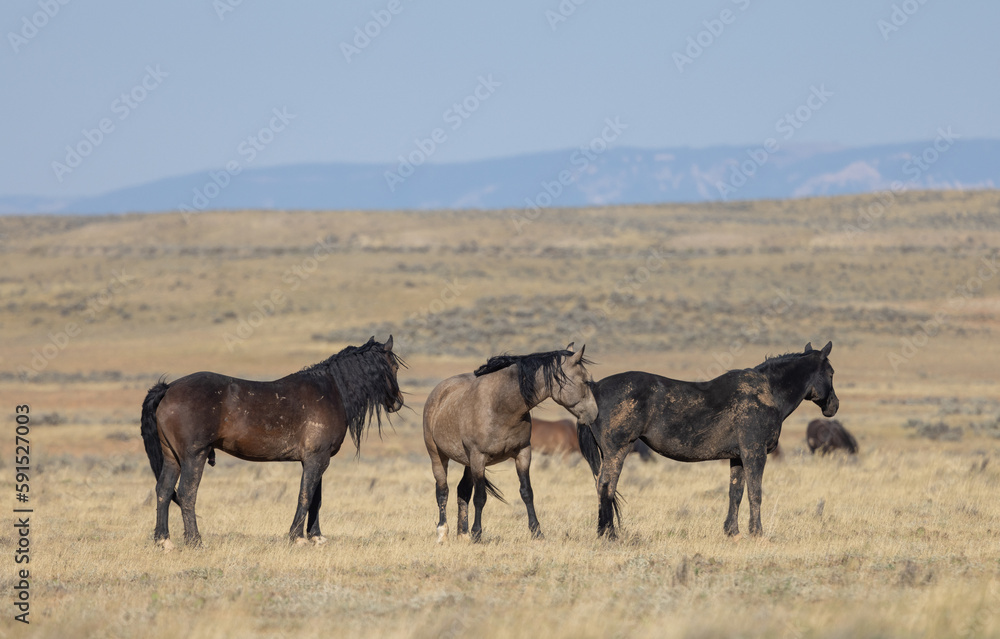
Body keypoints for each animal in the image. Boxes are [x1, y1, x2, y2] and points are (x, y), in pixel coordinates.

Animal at [139, 336, 405, 549]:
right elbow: (306, 495)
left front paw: (316, 536)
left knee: (163, 491)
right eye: (393, 367)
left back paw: (163, 540)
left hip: (172, 458)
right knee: (186, 493)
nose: (397, 402)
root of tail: (169, 389)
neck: (331, 392)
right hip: (194, 456)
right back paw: (195, 541)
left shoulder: (316, 460)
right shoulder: (316, 459)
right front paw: (297, 537)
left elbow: (316, 498)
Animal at [423, 344, 598, 543]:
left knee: (463, 491)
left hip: (467, 462)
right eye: (586, 381)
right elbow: (480, 497)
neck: (501, 406)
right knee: (443, 492)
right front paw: (477, 533)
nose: (594, 414)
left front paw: (536, 531)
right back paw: (442, 533)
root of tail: (438, 392)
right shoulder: (478, 458)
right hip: (438, 456)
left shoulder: (523, 453)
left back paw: (463, 535)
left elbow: (527, 492)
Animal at [578, 342, 838, 539]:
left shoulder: (738, 457)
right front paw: (757, 532)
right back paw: (608, 534)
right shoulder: (755, 453)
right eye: (831, 373)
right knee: (606, 487)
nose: (834, 406)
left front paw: (732, 531)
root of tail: (595, 388)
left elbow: (736, 493)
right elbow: (755, 492)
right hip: (616, 452)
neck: (767, 392)